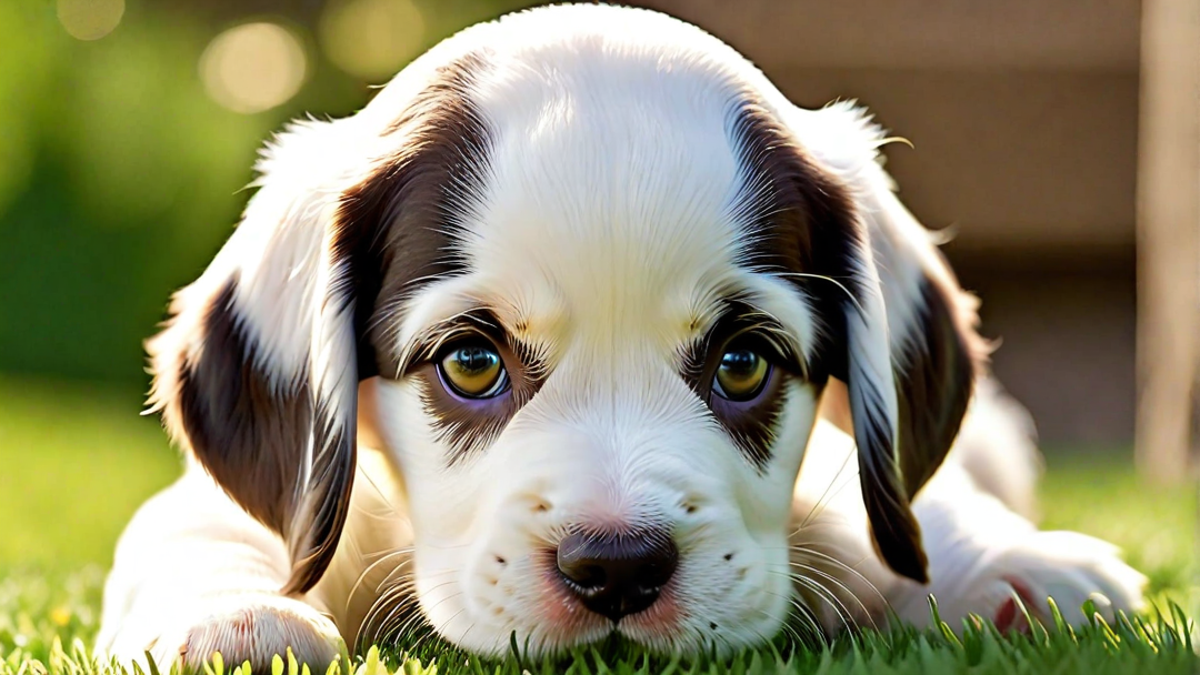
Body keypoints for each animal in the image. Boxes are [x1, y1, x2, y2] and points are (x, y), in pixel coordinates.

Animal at [93, 5, 1142, 667]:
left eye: (743, 364)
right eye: (471, 362)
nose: (616, 569)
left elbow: (901, 502)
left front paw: (1017, 569)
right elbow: (195, 535)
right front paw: (231, 618)